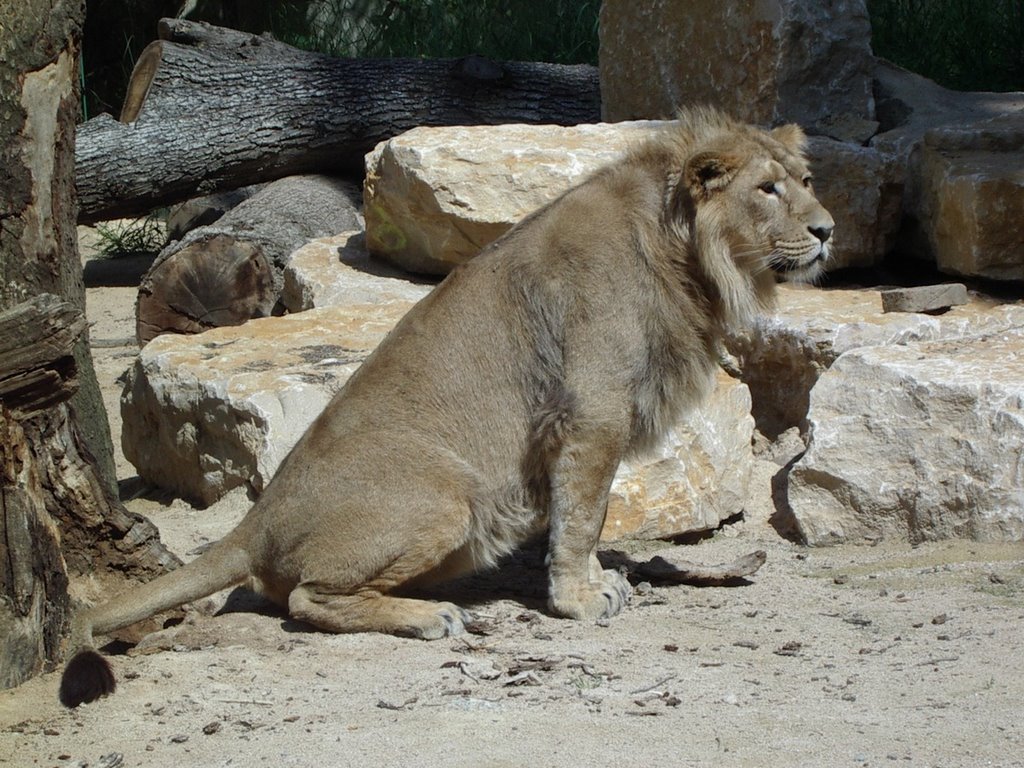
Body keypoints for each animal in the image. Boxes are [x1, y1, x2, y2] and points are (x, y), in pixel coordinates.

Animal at [58, 105, 831, 708]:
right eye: (767, 190)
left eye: (806, 183)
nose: (826, 230)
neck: (687, 252)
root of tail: (255, 523)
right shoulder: (592, 415)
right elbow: (582, 517)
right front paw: (580, 600)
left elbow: (590, 515)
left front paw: (599, 582)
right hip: (446, 499)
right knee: (307, 598)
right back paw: (431, 619)